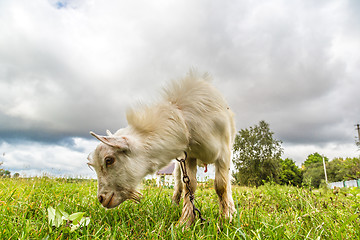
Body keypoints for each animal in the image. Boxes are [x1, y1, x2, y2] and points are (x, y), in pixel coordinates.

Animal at [89, 71, 238, 225]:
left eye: (109, 160)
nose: (101, 199)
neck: (185, 120)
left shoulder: (224, 152)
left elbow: (221, 186)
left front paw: (225, 219)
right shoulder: (189, 156)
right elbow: (190, 187)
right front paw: (185, 222)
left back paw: (231, 209)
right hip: (179, 167)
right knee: (179, 185)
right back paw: (174, 205)